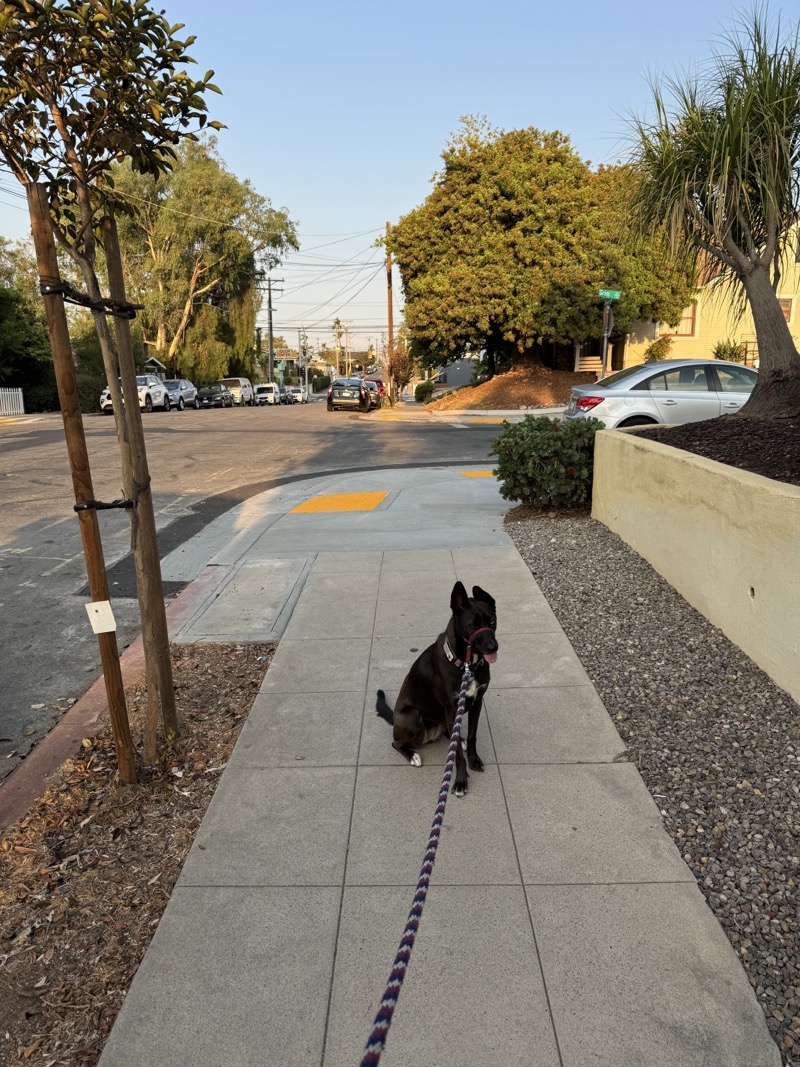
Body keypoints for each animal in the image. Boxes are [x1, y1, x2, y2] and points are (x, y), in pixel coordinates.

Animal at [375, 580, 499, 798]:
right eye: (473, 626)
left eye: (492, 621)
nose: (494, 647)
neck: (466, 665)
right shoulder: (451, 708)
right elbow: (457, 755)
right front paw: (460, 781)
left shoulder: (477, 701)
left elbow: (472, 736)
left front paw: (474, 759)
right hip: (412, 715)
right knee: (396, 742)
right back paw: (412, 755)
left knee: (451, 735)